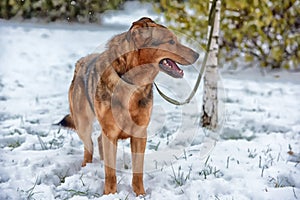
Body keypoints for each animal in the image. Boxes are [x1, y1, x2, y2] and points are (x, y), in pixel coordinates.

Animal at [58, 17, 199, 195]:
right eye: (171, 41)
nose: (198, 55)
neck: (133, 82)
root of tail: (81, 62)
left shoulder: (139, 133)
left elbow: (138, 171)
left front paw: (140, 194)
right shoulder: (110, 133)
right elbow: (110, 173)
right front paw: (110, 194)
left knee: (99, 141)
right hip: (83, 124)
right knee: (88, 147)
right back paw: (87, 167)